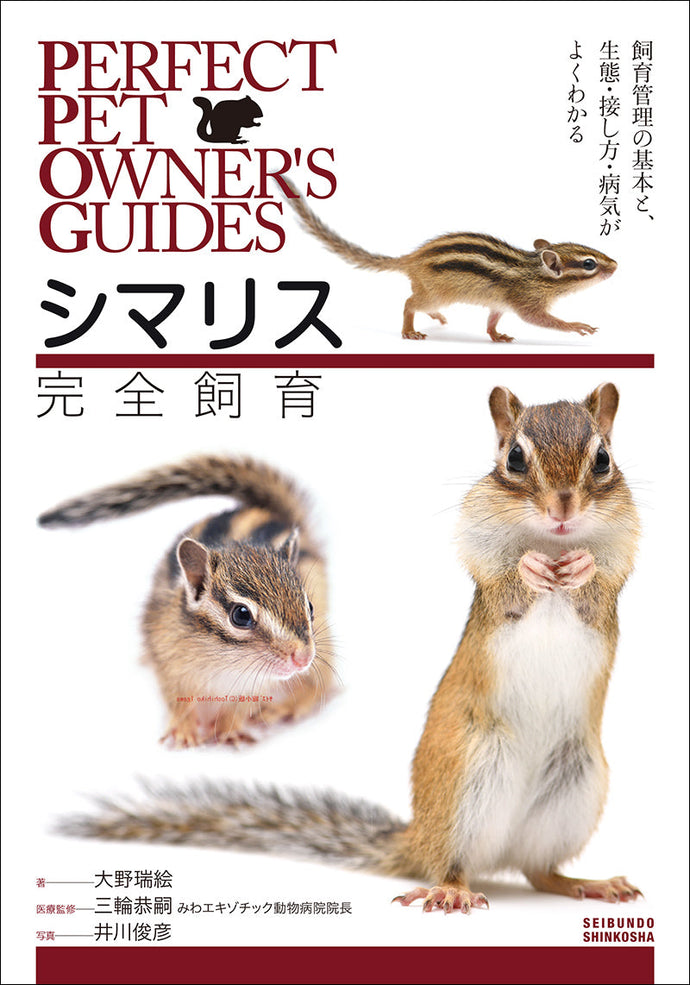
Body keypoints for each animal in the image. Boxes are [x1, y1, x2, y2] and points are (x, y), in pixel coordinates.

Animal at [39, 456, 334, 748]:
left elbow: (240, 707)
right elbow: (177, 701)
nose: (303, 658)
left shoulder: (258, 683)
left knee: (323, 683)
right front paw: (184, 730)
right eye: (241, 615)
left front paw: (229, 730)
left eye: (309, 607)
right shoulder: (168, 662)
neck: (223, 660)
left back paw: (289, 706)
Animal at [278, 178, 617, 342]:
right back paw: (410, 330)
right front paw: (577, 326)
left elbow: (493, 319)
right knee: (409, 303)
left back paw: (437, 319)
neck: (535, 272)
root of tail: (411, 258)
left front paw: (496, 336)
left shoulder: (500, 303)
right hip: (436, 293)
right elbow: (542, 320)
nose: (616, 265)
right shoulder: (527, 301)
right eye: (589, 264)